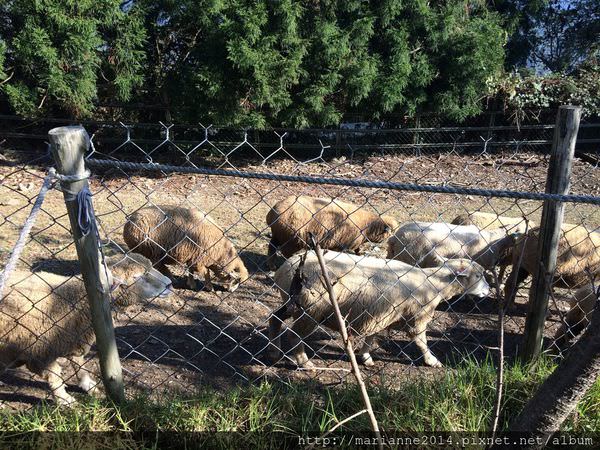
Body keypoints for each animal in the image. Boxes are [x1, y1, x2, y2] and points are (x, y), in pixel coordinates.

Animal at [0, 253, 173, 404]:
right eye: (136, 277)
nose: (170, 284)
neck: (73, 300)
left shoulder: (74, 337)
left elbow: (79, 364)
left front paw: (88, 385)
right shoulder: (40, 353)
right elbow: (54, 377)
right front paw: (64, 400)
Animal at [266, 195, 398, 268]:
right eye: (390, 232)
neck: (367, 226)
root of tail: (273, 212)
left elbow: (357, 248)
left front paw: (359, 253)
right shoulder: (341, 245)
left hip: (279, 235)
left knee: (271, 247)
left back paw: (272, 265)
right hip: (292, 239)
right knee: (285, 252)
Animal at [270, 251, 490, 368]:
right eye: (479, 275)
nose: (488, 290)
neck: (434, 283)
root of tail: (289, 266)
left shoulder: (381, 314)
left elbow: (372, 337)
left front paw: (366, 357)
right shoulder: (417, 318)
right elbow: (421, 342)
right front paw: (431, 360)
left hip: (292, 302)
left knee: (274, 318)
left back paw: (274, 351)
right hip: (311, 309)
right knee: (294, 334)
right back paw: (304, 362)